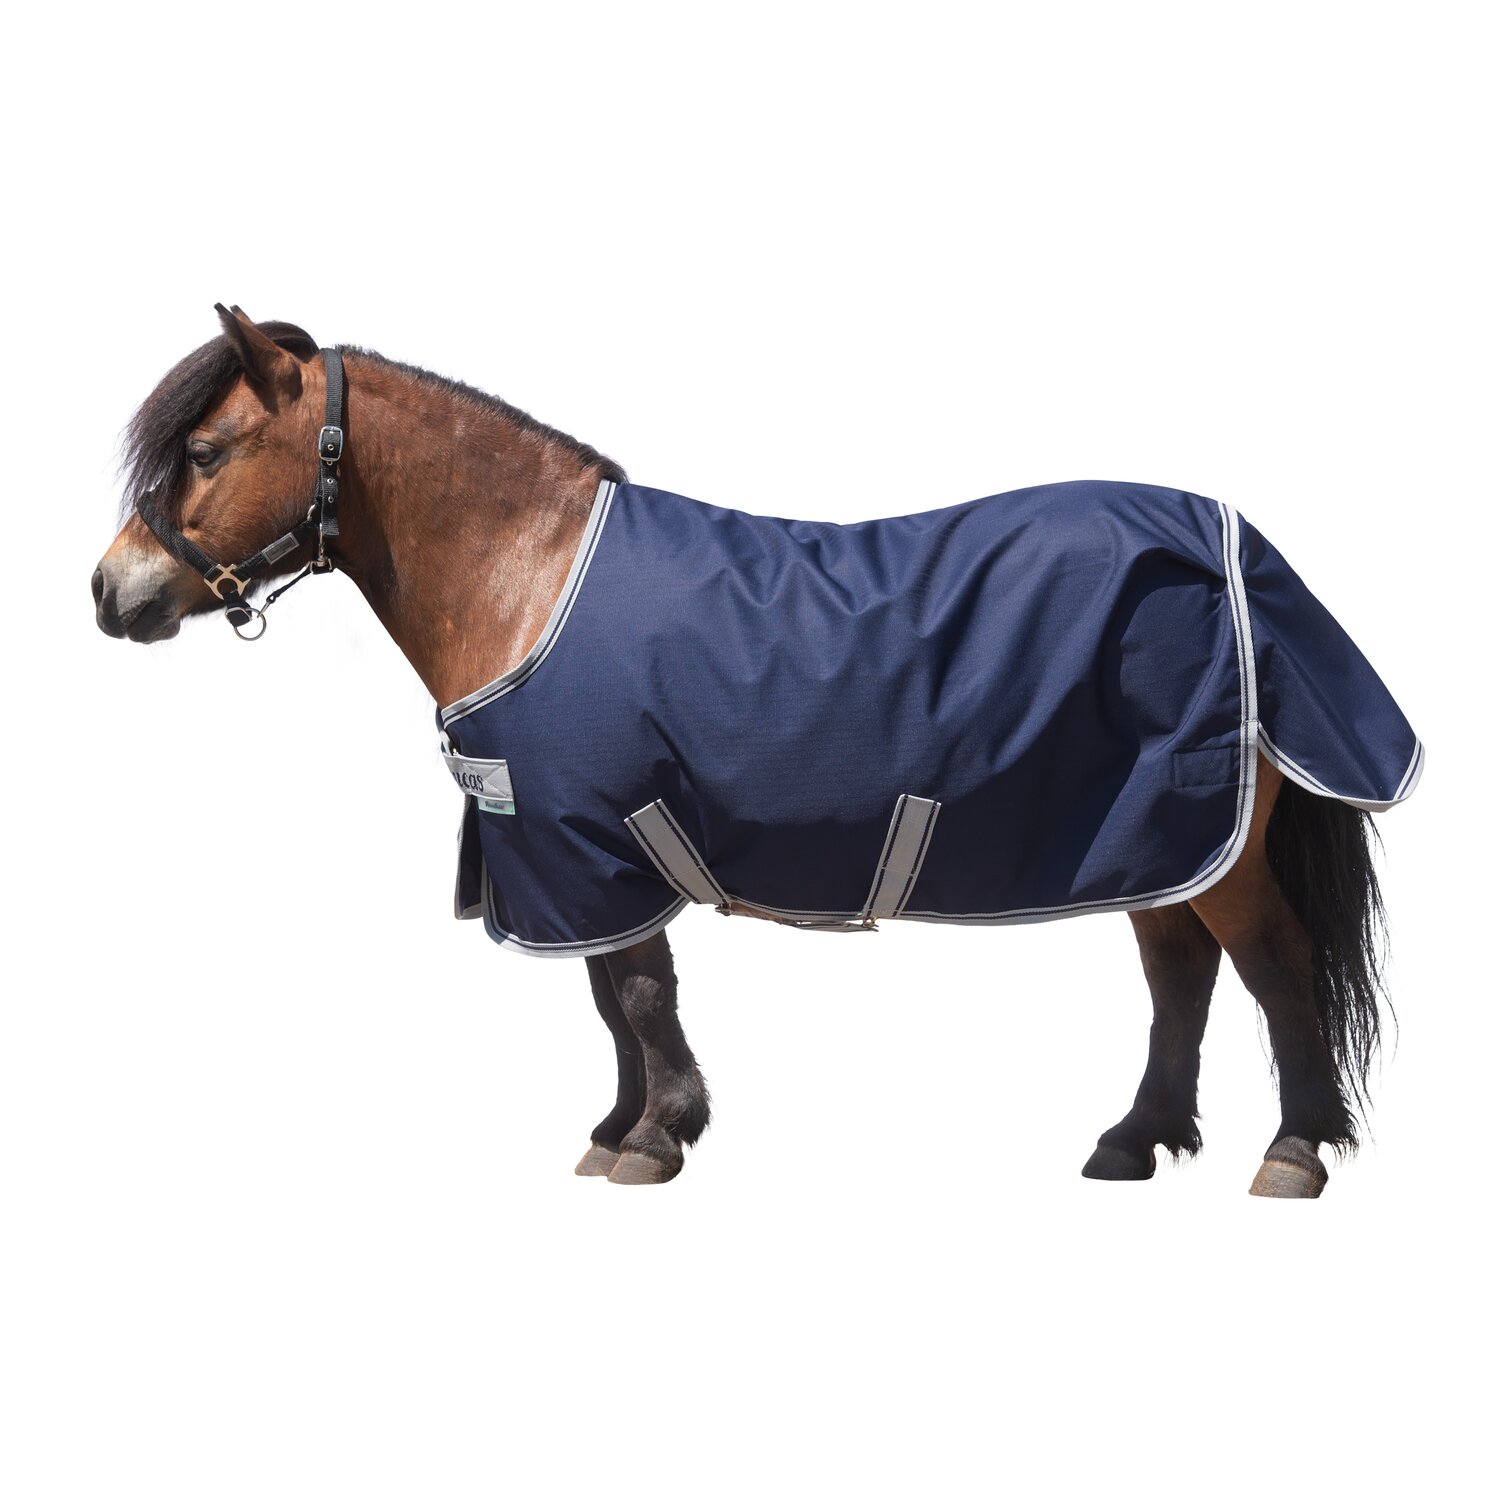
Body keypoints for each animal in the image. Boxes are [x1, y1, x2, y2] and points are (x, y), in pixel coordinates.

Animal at [93, 306, 1421, 1197]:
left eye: (205, 452)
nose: (112, 592)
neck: (528, 577)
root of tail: (1232, 543)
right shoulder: (583, 849)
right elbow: (610, 995)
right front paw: (620, 1124)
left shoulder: (589, 834)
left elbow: (636, 989)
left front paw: (655, 1136)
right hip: (1153, 837)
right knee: (1178, 975)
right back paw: (1133, 1141)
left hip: (1209, 842)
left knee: (1274, 968)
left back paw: (1292, 1150)